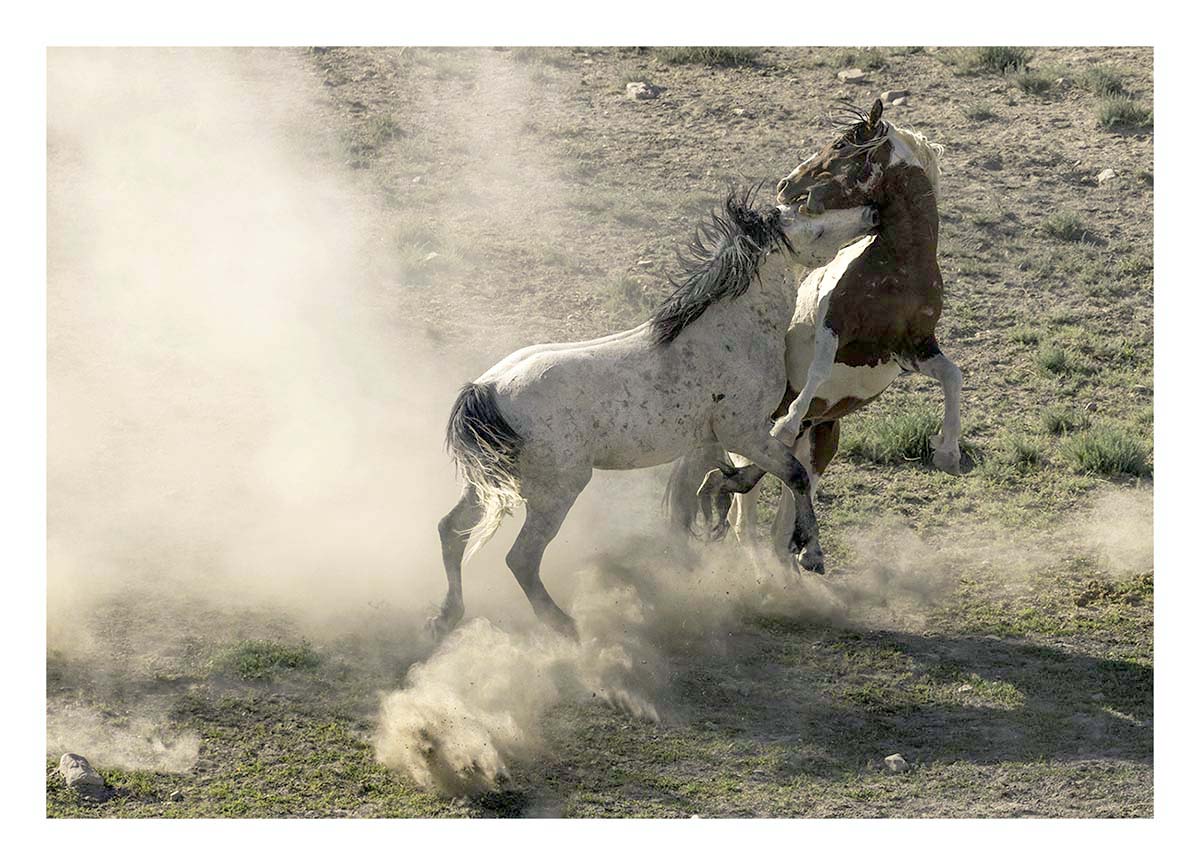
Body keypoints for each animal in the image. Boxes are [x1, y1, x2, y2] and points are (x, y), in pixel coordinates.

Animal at [434, 189, 879, 638]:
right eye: (811, 217)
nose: (871, 213)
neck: (732, 333)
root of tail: (487, 390)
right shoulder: (745, 431)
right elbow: (794, 473)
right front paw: (811, 553)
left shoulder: (718, 439)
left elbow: (719, 488)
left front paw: (714, 510)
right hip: (555, 491)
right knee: (520, 558)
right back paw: (567, 627)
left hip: (485, 485)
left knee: (451, 530)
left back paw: (445, 617)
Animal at [669, 99, 963, 562]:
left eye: (841, 144)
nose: (786, 184)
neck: (898, 268)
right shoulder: (834, 326)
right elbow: (820, 370)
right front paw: (788, 419)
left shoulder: (912, 348)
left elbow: (953, 375)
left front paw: (948, 452)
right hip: (749, 441)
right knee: (744, 521)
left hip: (820, 446)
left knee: (779, 518)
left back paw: (799, 550)